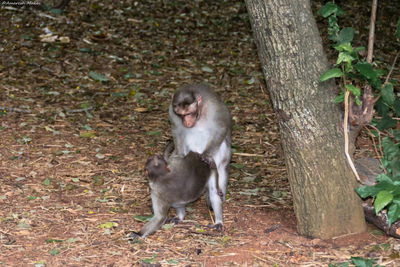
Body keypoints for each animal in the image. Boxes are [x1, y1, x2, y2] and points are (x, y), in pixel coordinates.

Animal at [169, 84, 231, 230]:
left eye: (189, 113)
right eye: (181, 115)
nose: (186, 122)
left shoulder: (215, 107)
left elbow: (222, 125)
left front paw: (206, 155)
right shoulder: (172, 112)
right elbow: (177, 130)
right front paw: (179, 155)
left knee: (214, 188)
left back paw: (218, 221)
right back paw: (180, 216)